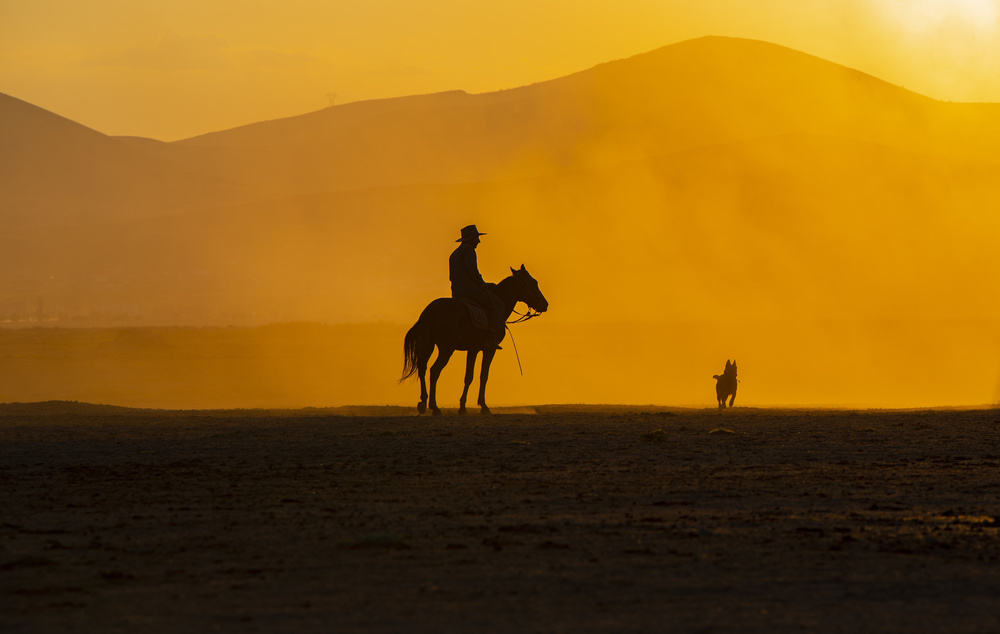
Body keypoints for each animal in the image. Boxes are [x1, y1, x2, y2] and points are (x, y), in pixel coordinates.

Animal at [400, 262, 548, 414]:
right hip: (447, 348)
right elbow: (484, 375)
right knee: (434, 370)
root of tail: (430, 310)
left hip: (428, 344)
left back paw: (423, 403)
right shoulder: (489, 350)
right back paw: (435, 407)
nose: (545, 304)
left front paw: (462, 407)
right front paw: (484, 406)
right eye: (533, 282)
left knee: (422, 367)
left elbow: (468, 376)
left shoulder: (473, 349)